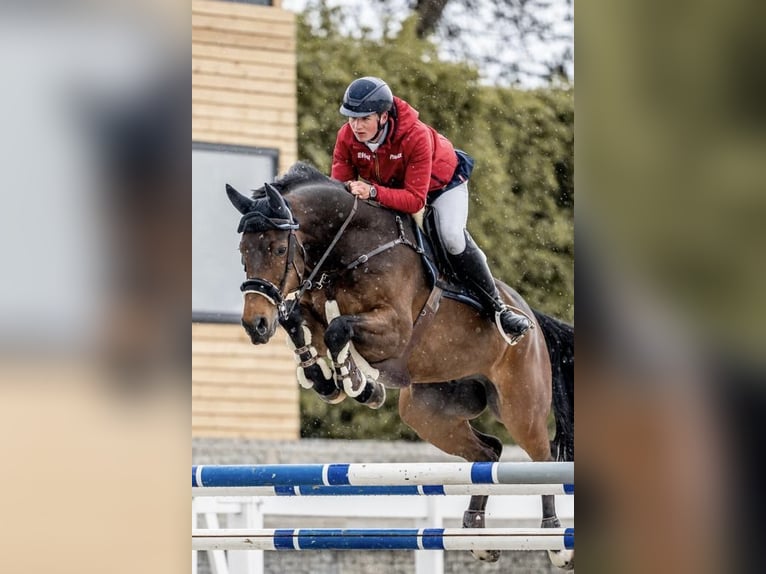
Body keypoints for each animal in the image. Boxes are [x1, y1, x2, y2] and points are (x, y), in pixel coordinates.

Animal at [228, 163, 576, 572]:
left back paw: (555, 541)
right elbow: (299, 321)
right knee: (487, 454)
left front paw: (361, 384)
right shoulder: (311, 307)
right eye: (242, 251)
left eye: (279, 248)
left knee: (542, 459)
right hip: (426, 412)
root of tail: (531, 316)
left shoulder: (394, 329)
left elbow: (337, 328)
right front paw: (327, 380)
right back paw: (476, 533)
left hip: (520, 406)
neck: (348, 250)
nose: (255, 324)